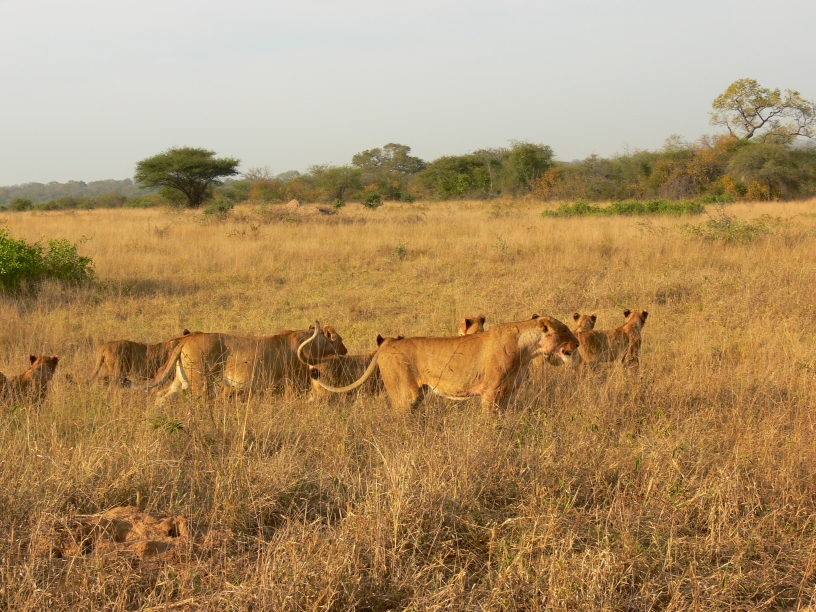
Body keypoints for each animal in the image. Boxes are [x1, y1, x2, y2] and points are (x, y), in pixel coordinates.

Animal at [138, 324, 347, 405]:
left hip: (182, 380)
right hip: (201, 381)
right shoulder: (293, 382)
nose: (346, 350)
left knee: (160, 395)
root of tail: (188, 337)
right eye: (340, 339)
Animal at [302, 315, 579, 413]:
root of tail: (385, 347)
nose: (576, 344)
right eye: (565, 330)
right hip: (405, 393)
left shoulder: (509, 393)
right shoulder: (490, 392)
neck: (527, 350)